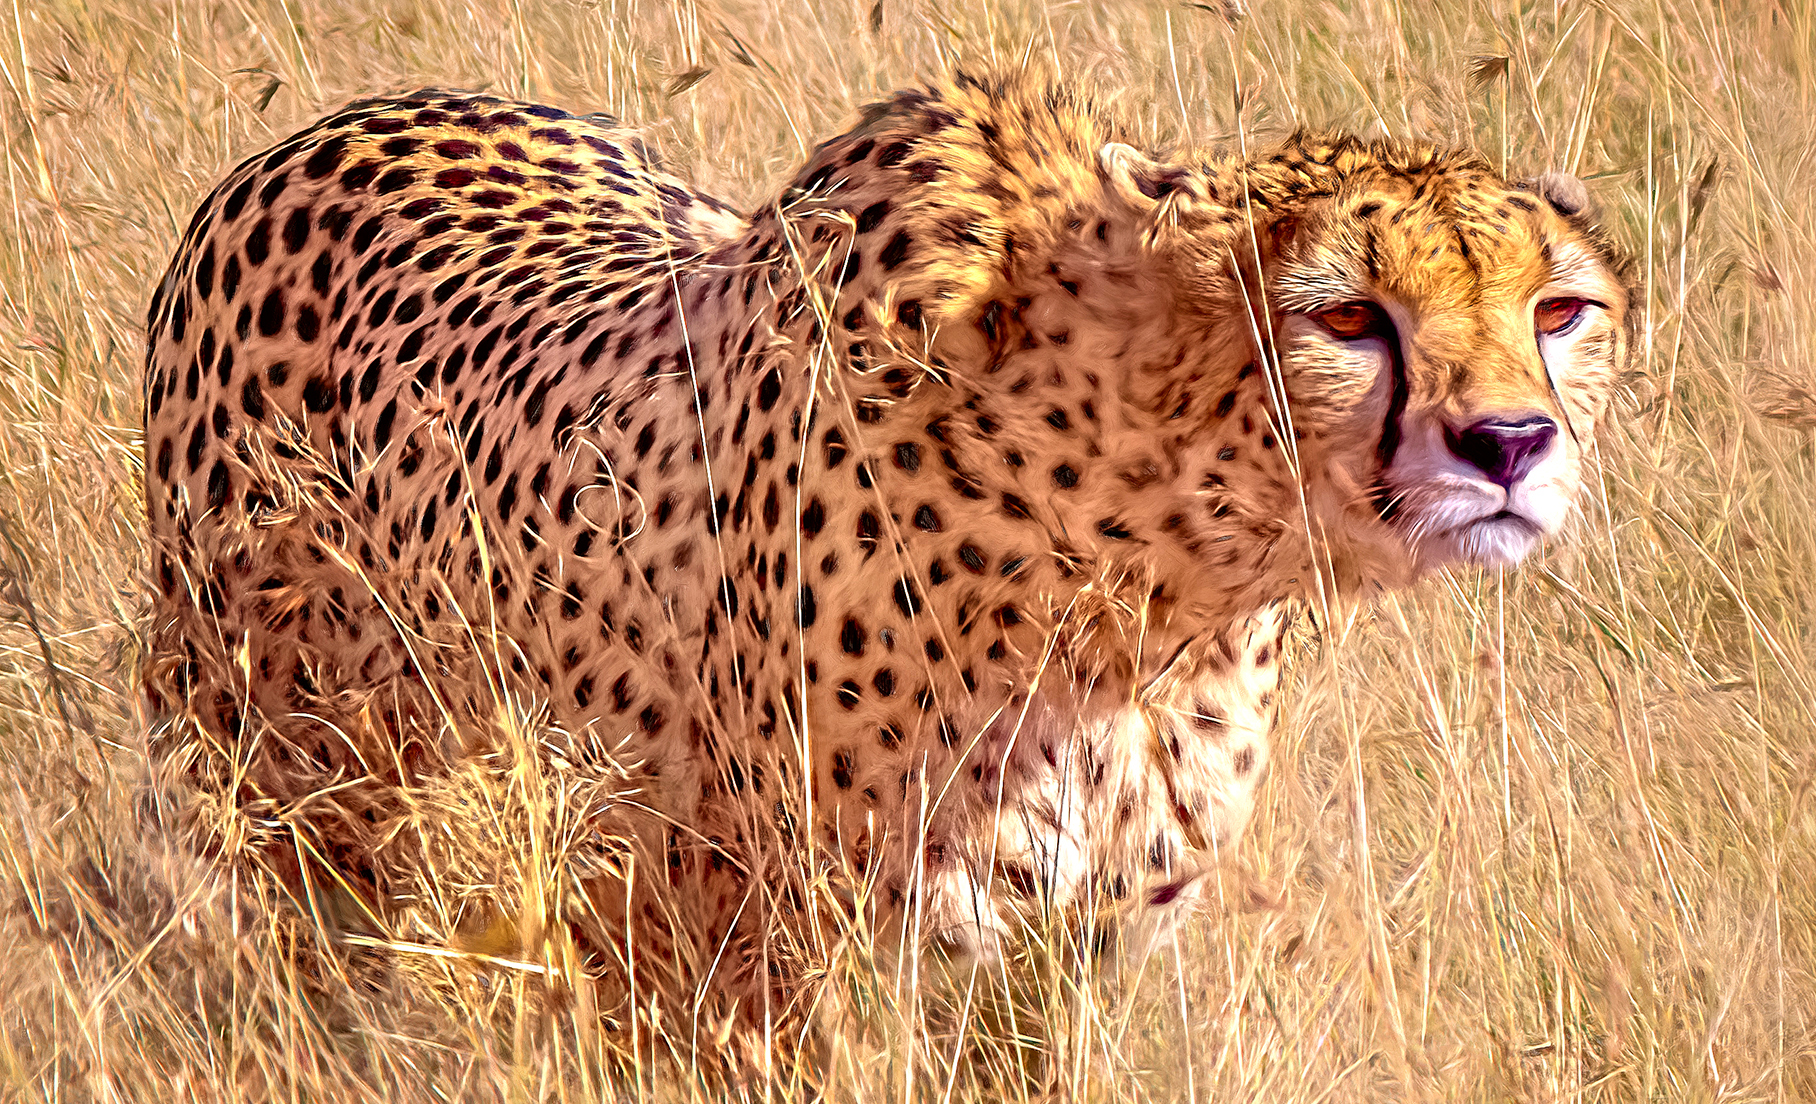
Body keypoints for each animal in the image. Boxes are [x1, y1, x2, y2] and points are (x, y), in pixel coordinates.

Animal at [140, 71, 1630, 1039]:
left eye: (1560, 310)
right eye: (1348, 319)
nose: (1510, 443)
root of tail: (328, 125)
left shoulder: (1062, 972)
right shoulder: (796, 968)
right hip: (302, 784)